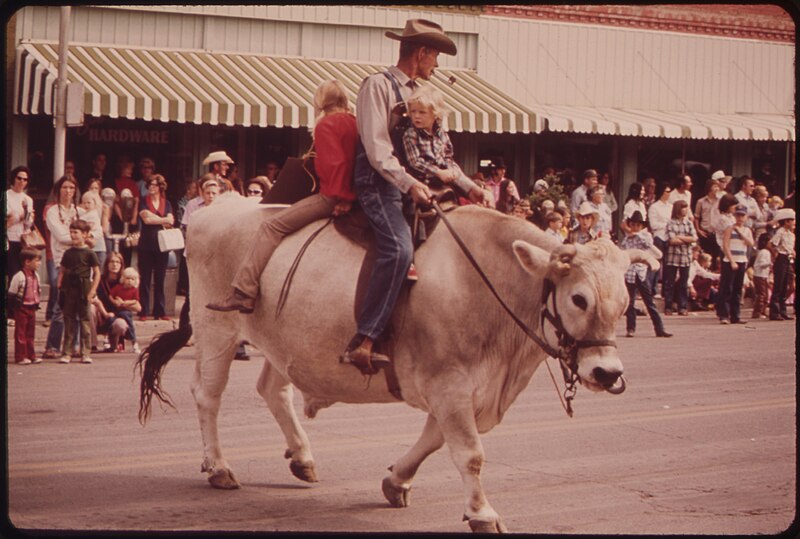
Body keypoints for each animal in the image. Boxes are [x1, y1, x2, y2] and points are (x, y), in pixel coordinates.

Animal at [138, 193, 660, 532]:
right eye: (578, 298)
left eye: (623, 301)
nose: (607, 373)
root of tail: (218, 207)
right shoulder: (450, 385)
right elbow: (468, 453)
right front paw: (483, 513)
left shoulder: (458, 391)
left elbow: (431, 441)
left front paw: (395, 481)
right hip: (218, 332)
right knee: (208, 395)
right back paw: (219, 467)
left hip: (286, 343)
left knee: (273, 390)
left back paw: (303, 458)